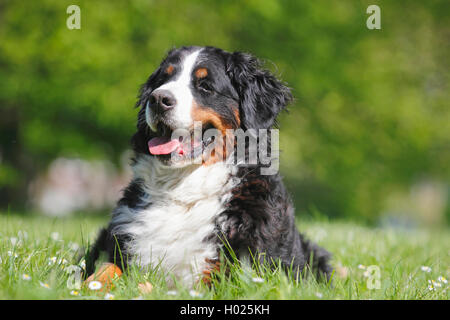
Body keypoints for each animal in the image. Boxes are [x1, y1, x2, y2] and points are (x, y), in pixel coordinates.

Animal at [86, 46, 332, 286]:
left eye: (205, 86)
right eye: (162, 80)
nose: (157, 99)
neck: (184, 193)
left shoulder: (237, 272)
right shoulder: (120, 246)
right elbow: (104, 270)